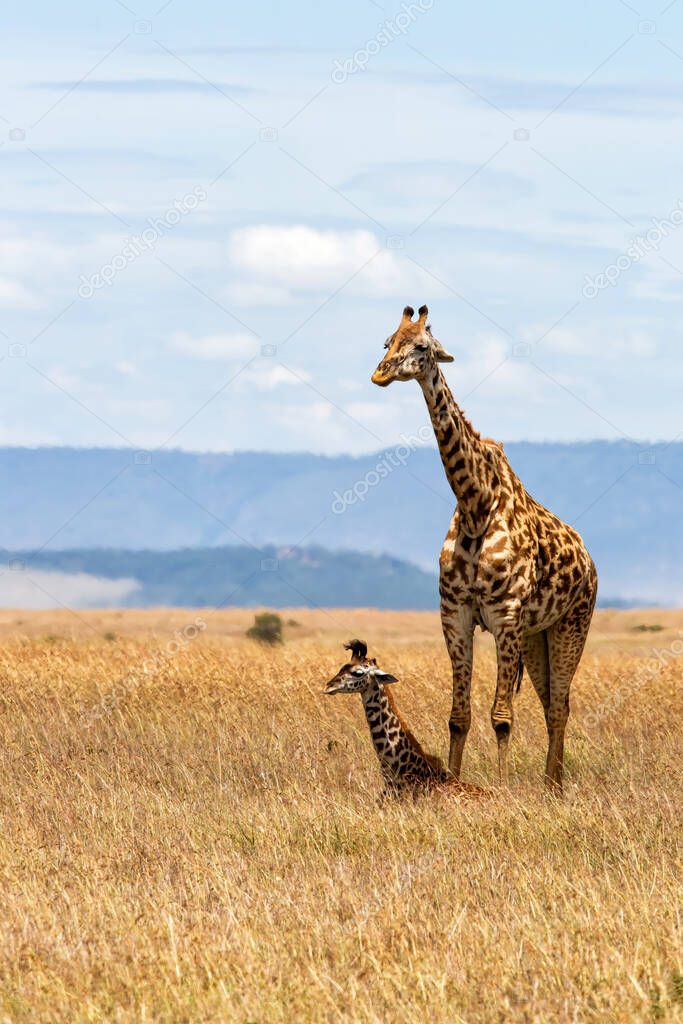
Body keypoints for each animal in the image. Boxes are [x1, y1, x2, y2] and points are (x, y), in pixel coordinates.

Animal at [370, 303, 593, 790]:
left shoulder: (504, 615)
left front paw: (504, 786)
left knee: (561, 705)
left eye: (421, 346)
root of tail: (590, 563)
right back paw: (550, 782)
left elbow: (501, 717)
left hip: (571, 625)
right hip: (537, 634)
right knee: (552, 704)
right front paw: (453, 781)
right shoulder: (455, 614)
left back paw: (553, 786)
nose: (380, 373)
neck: (476, 502)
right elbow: (459, 716)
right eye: (387, 341)